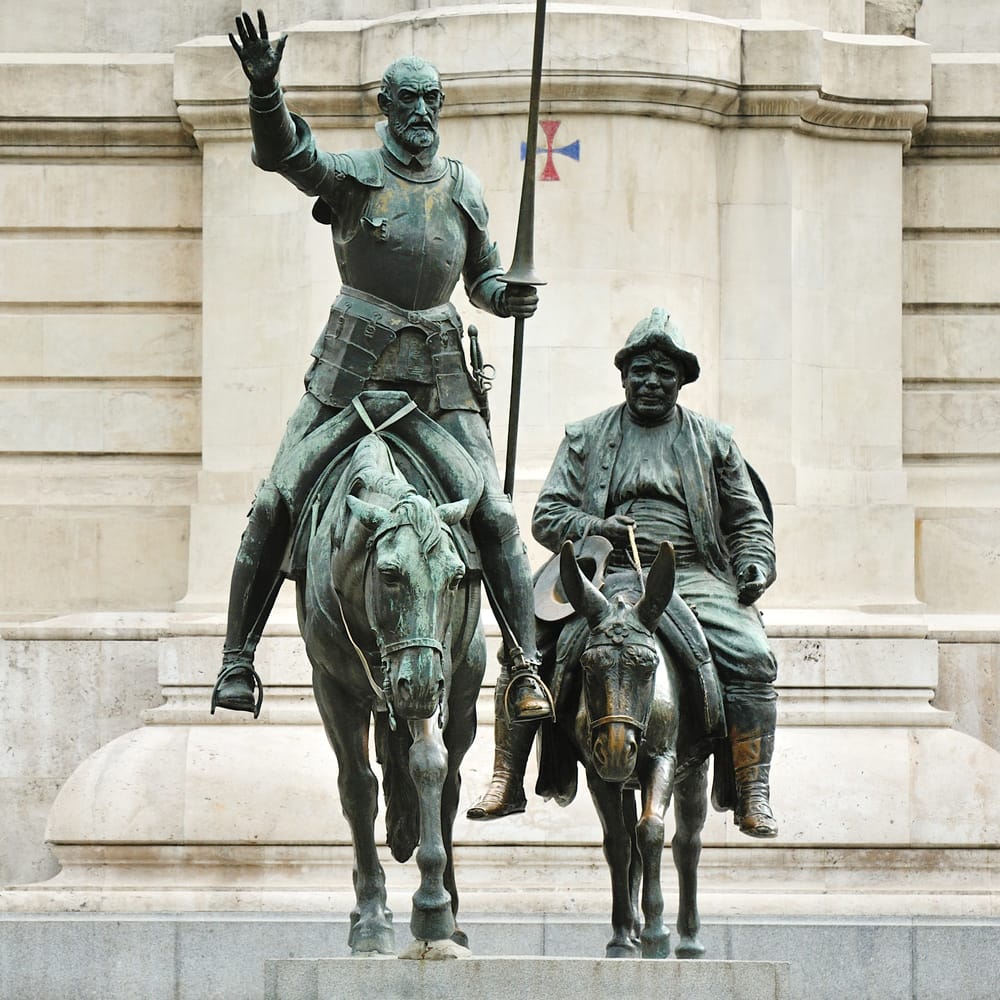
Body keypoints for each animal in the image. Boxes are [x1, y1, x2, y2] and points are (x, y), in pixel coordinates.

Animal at [294, 430, 486, 952]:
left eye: (456, 578)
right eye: (389, 574)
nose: (416, 685)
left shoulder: (431, 676)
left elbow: (430, 768)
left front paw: (434, 906)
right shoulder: (334, 691)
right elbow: (358, 788)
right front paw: (371, 918)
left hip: (460, 700)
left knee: (451, 790)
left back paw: (454, 914)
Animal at [548, 540, 712, 960]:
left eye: (648, 666)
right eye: (588, 665)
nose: (619, 751)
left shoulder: (663, 760)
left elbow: (651, 830)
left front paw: (657, 932)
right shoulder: (598, 775)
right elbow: (620, 845)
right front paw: (622, 936)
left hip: (692, 774)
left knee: (687, 845)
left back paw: (690, 940)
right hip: (623, 782)